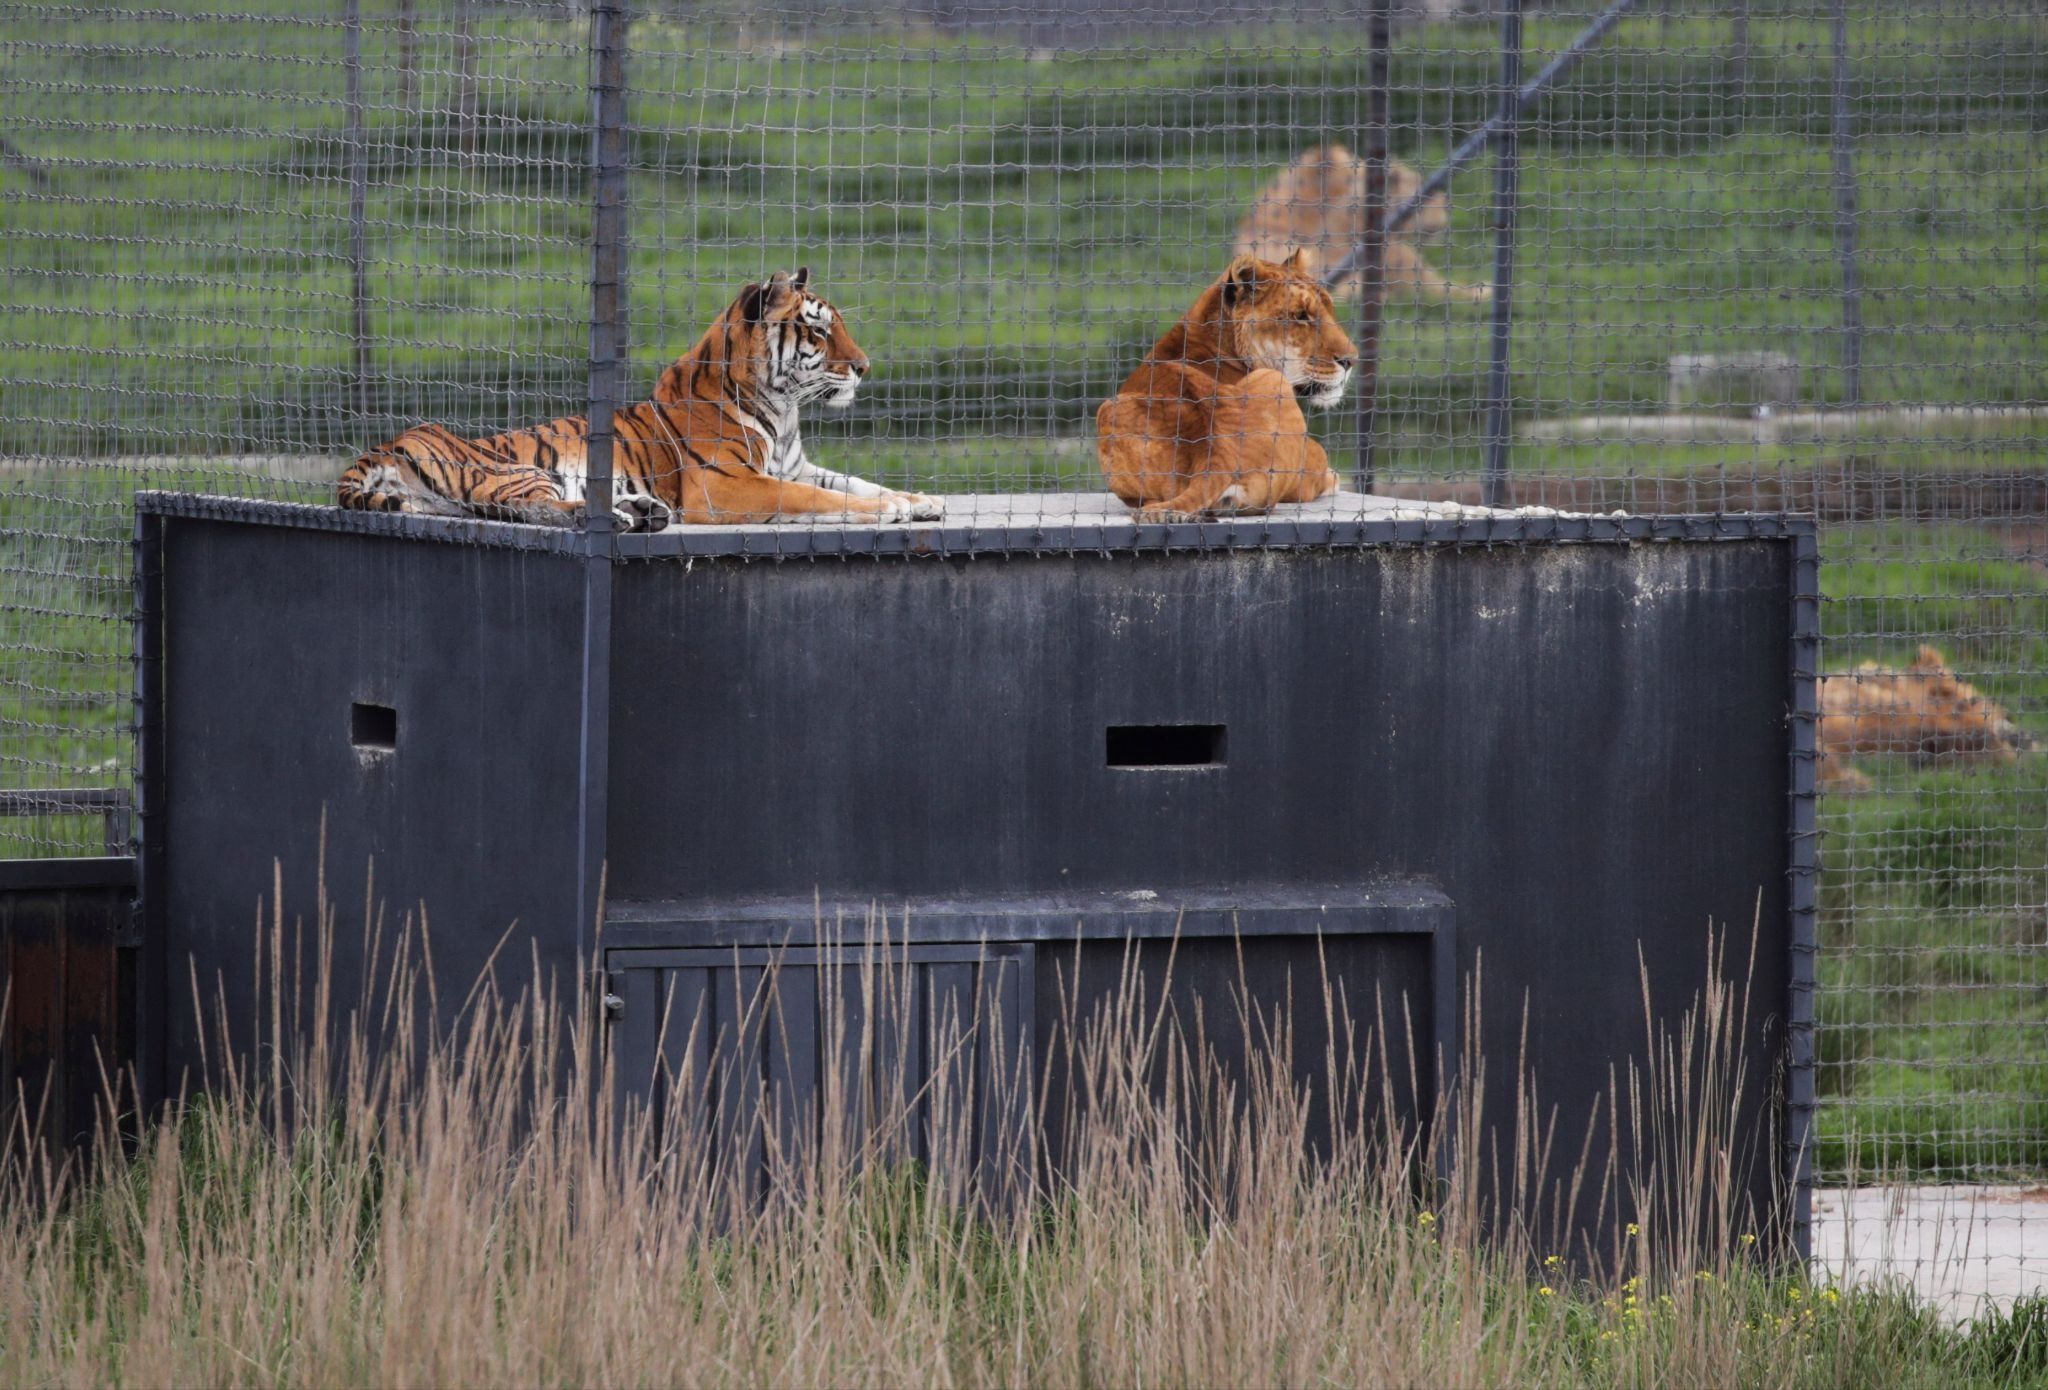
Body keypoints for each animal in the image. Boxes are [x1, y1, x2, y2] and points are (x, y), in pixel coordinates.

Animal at [335, 268, 944, 529]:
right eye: (818, 331)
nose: (864, 367)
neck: (783, 405)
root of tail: (383, 446)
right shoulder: (726, 485)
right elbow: (817, 498)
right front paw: (892, 510)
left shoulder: (796, 466)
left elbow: (855, 483)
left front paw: (919, 500)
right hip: (516, 471)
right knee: (529, 509)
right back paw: (624, 517)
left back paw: (642, 510)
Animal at [1096, 249, 1355, 522]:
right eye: (1301, 316)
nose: (1351, 360)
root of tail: (1217, 453)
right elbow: (1321, 459)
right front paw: (1333, 476)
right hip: (1272, 380)